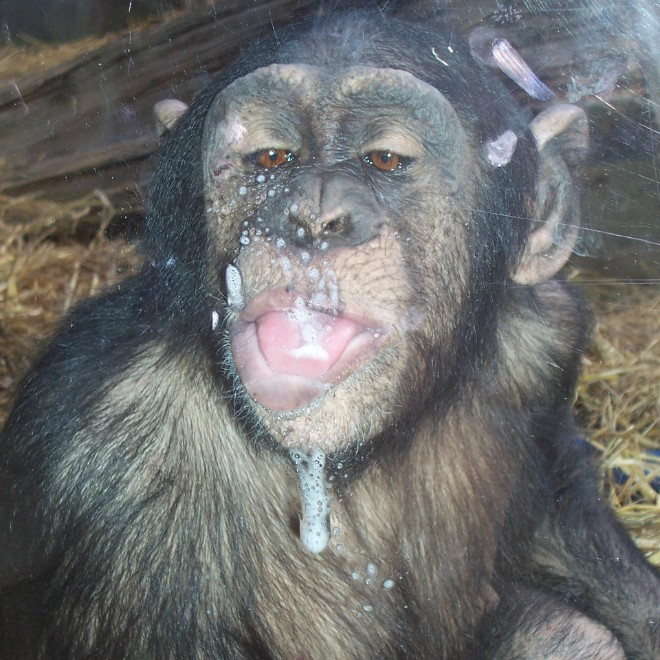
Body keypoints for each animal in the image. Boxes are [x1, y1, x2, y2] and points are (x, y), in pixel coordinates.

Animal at [1, 9, 658, 659]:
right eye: (271, 158)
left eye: (385, 159)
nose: (314, 215)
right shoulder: (101, 456)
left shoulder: (546, 341)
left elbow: (568, 531)